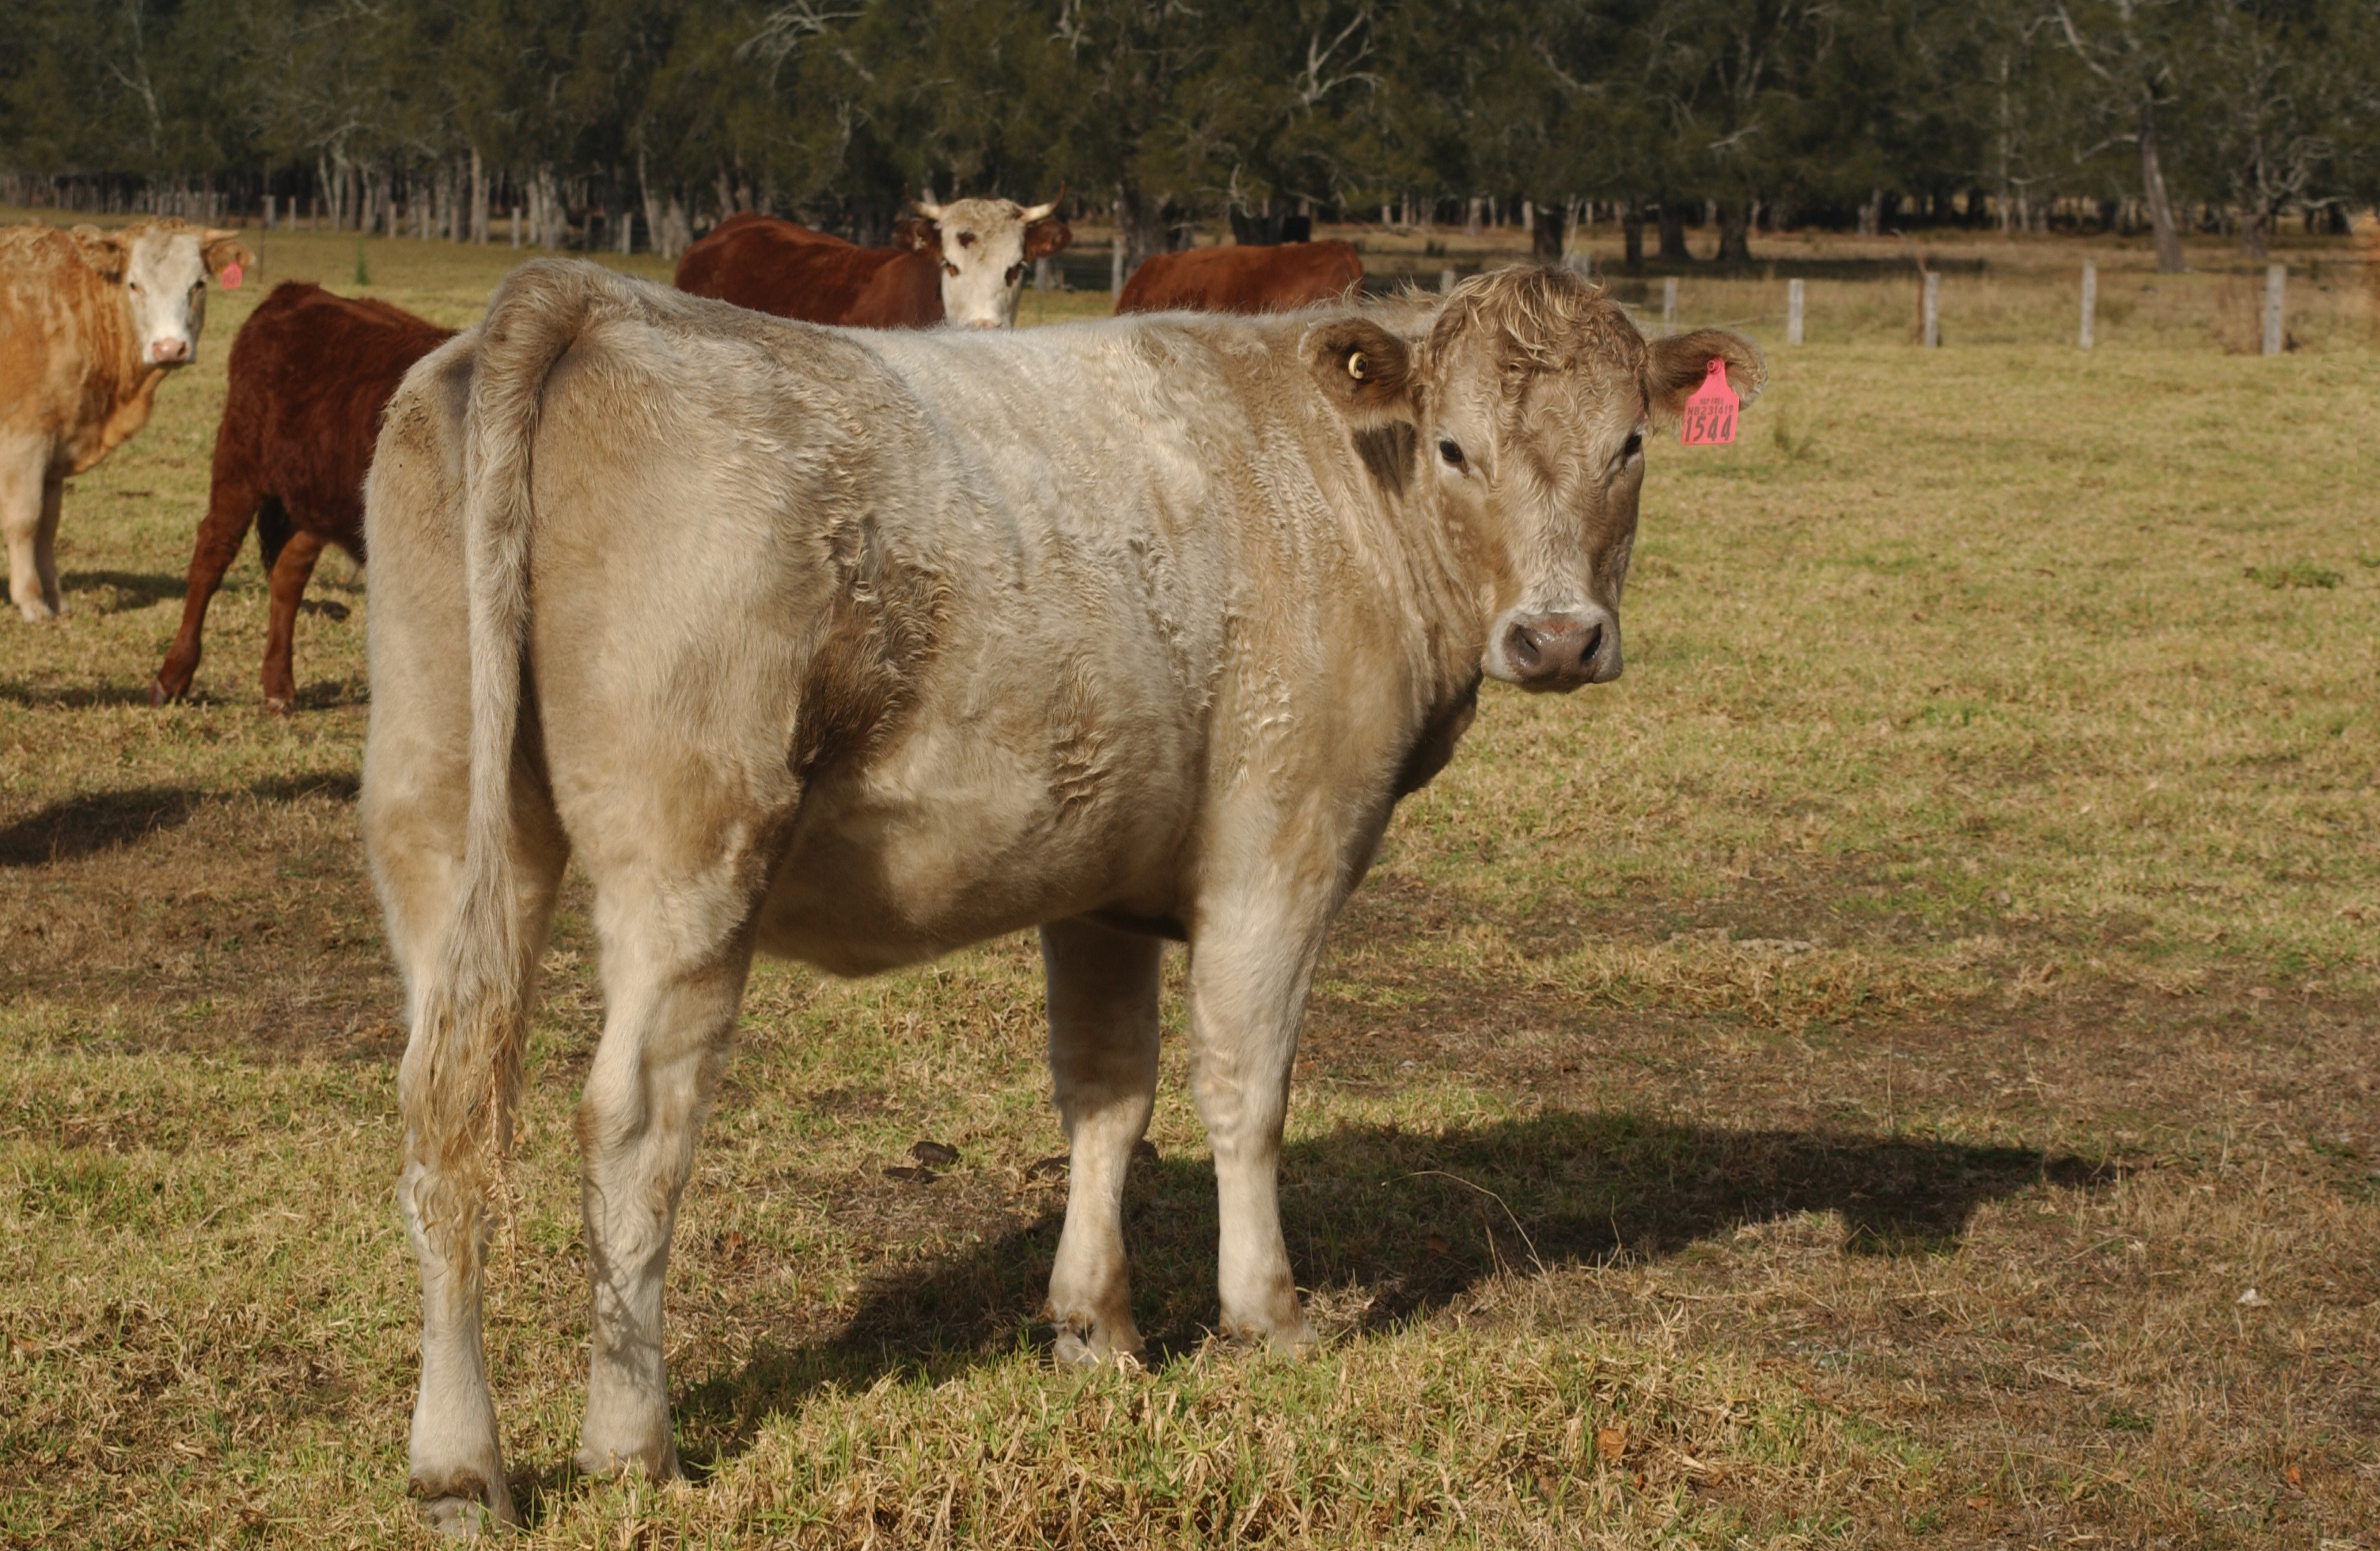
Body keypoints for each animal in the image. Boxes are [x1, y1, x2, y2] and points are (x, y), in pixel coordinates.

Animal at [0, 218, 253, 621]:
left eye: (198, 285)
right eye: (134, 284)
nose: (170, 348)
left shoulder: (56, 446)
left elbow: (48, 524)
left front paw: (56, 598)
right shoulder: (24, 438)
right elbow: (25, 519)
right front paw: (31, 601)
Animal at [148, 282, 454, 712]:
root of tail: (299, 291)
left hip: (312, 498)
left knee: (288, 575)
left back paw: (278, 686)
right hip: (239, 462)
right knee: (213, 553)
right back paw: (172, 677)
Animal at [362, 257, 1761, 1533]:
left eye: (1630, 443)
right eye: (1457, 447)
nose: (1558, 638)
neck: (1345, 486)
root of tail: (588, 298)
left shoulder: (1101, 876)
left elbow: (1106, 1094)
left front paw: (1098, 1329)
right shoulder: (1287, 838)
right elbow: (1246, 1088)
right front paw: (1270, 1317)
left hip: (440, 817)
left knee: (442, 1114)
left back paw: (457, 1470)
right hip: (690, 848)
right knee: (632, 1124)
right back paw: (628, 1445)